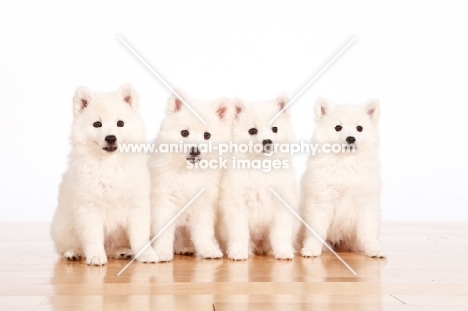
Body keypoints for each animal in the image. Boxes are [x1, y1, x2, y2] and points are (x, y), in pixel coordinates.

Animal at [50, 84, 157, 266]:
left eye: (120, 123)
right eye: (97, 124)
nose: (111, 138)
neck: (109, 164)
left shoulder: (137, 206)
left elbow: (140, 235)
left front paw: (146, 254)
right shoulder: (89, 208)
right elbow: (93, 237)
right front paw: (95, 256)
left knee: (114, 247)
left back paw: (123, 251)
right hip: (63, 228)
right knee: (66, 246)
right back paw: (74, 252)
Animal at [149, 91, 231, 262]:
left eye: (207, 135)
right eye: (184, 133)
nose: (195, 150)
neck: (189, 171)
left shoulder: (203, 204)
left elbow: (203, 232)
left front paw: (207, 250)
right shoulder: (165, 202)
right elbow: (165, 232)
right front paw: (162, 252)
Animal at [218, 94, 298, 260]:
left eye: (275, 129)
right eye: (252, 131)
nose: (267, 141)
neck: (261, 164)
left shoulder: (282, 206)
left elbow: (281, 234)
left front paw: (283, 252)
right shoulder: (238, 206)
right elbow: (239, 234)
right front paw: (238, 252)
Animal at [302, 97, 386, 258]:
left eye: (359, 128)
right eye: (338, 127)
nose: (350, 138)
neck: (346, 163)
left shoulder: (367, 202)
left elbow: (368, 230)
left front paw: (374, 248)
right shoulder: (321, 201)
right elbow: (316, 230)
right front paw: (312, 248)